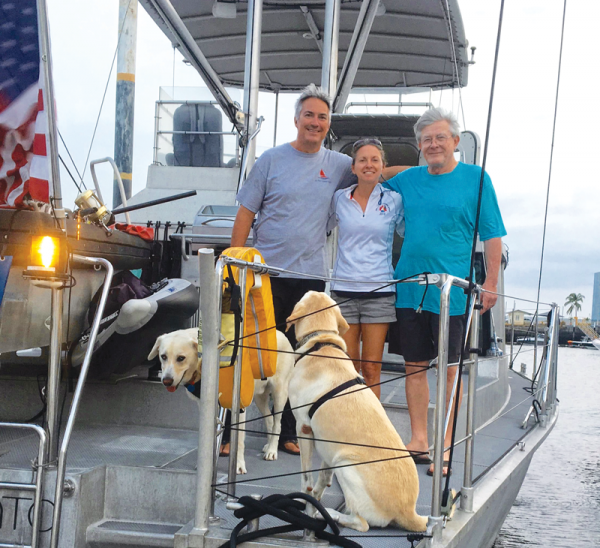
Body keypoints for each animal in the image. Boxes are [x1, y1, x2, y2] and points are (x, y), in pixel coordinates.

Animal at [148, 328, 292, 474]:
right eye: (163, 356)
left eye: (181, 358)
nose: (166, 381)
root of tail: (280, 333)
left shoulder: (239, 407)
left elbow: (239, 441)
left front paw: (238, 465)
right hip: (259, 398)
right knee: (269, 419)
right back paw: (269, 445)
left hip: (280, 393)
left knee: (277, 422)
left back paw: (272, 450)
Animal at [286, 294, 426, 532]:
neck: (321, 343)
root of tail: (409, 512)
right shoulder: (328, 444)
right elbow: (322, 476)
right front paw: (315, 501)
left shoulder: (303, 427)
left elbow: (306, 480)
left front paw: (307, 505)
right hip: (339, 458)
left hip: (346, 463)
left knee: (362, 524)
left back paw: (331, 515)